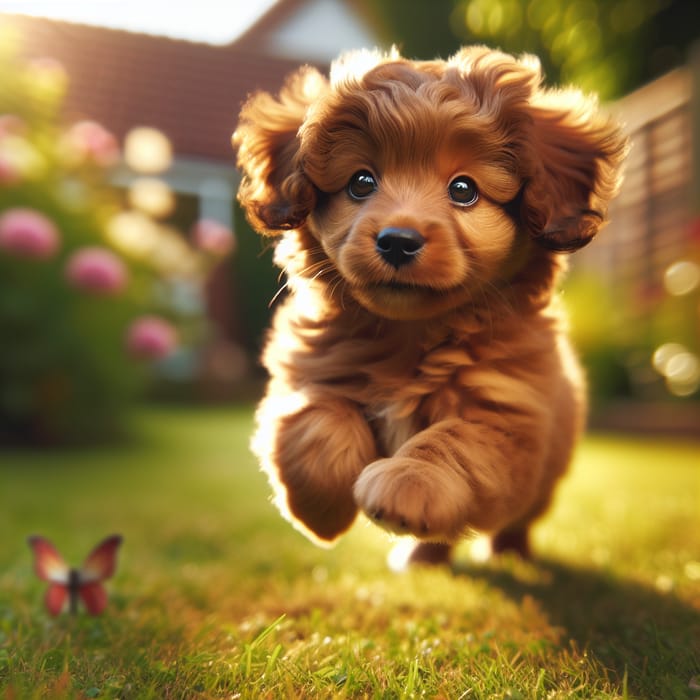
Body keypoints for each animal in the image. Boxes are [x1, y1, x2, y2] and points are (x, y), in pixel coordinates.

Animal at [232, 45, 628, 564]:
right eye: (361, 182)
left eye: (463, 190)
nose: (398, 241)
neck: (410, 334)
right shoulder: (311, 375)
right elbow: (314, 422)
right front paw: (322, 510)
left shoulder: (506, 421)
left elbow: (451, 442)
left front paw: (408, 484)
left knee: (516, 521)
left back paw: (509, 552)